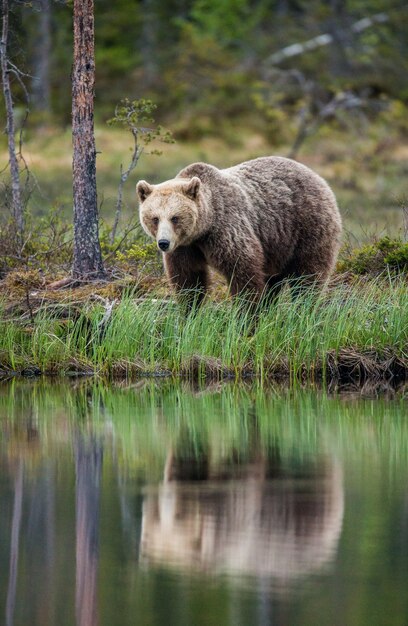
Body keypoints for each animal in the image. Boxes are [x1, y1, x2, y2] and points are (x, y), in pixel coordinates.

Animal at [136, 155, 342, 302]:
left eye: (175, 218)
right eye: (155, 218)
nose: (163, 243)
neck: (203, 229)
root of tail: (318, 177)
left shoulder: (226, 229)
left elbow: (243, 272)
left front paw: (247, 319)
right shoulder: (185, 247)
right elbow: (188, 280)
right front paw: (189, 313)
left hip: (307, 226)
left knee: (308, 276)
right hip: (277, 246)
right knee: (274, 281)